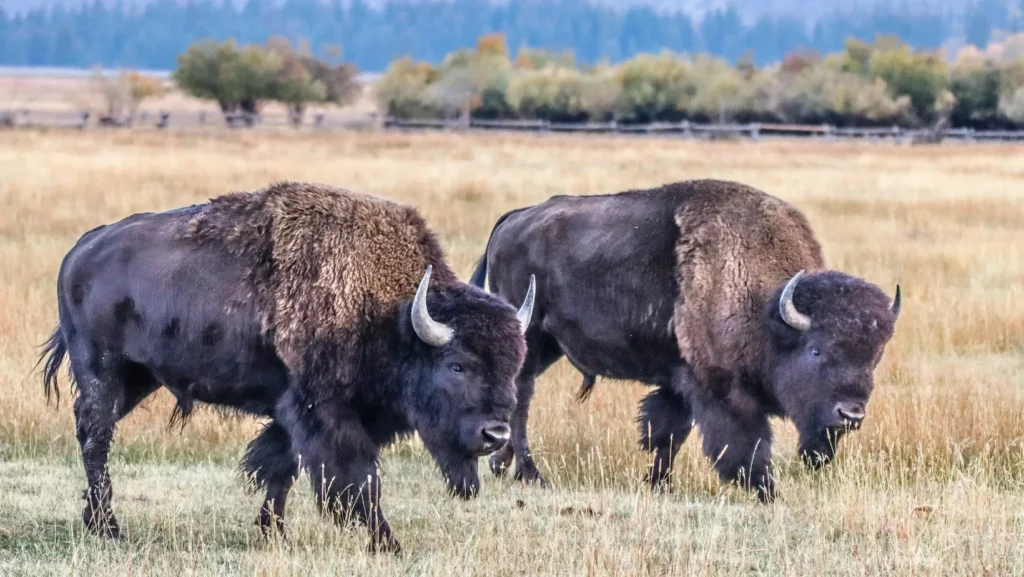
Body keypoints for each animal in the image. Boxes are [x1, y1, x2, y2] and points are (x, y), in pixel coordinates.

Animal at [39, 182, 536, 553]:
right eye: (457, 366)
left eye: (514, 365)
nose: (496, 435)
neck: (386, 311)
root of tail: (82, 248)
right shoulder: (326, 414)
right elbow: (357, 480)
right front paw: (388, 544)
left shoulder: (297, 414)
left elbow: (282, 467)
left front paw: (272, 531)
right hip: (102, 369)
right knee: (96, 436)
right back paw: (109, 527)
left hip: (139, 378)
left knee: (95, 432)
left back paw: (94, 520)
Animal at [468, 179, 901, 502]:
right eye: (815, 350)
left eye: (873, 358)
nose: (851, 414)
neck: (766, 308)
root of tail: (513, 219)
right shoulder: (719, 390)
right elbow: (744, 445)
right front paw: (769, 493)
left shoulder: (678, 380)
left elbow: (668, 434)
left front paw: (659, 484)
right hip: (529, 333)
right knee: (522, 399)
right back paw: (531, 474)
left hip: (547, 345)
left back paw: (502, 465)